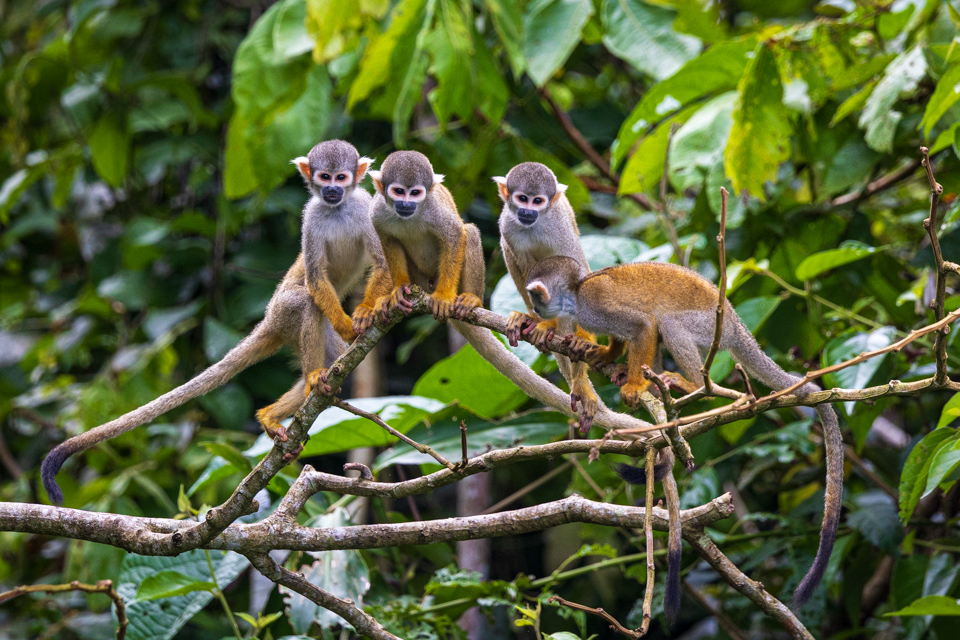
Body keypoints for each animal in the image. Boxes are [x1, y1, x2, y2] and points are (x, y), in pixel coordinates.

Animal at [41, 139, 391, 505]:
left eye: (341, 177)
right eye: (324, 177)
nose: (332, 190)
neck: (338, 209)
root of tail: (267, 321)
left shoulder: (366, 207)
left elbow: (382, 262)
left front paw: (368, 312)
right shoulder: (309, 216)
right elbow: (315, 278)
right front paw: (349, 324)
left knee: (336, 361)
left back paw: (284, 406)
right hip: (284, 313)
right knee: (307, 303)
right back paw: (308, 383)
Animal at [524, 256, 844, 610]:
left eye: (536, 297)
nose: (534, 310)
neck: (575, 295)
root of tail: (737, 324)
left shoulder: (594, 306)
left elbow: (643, 325)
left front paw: (634, 385)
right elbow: (625, 334)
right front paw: (608, 354)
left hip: (710, 328)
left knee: (669, 323)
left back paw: (693, 385)